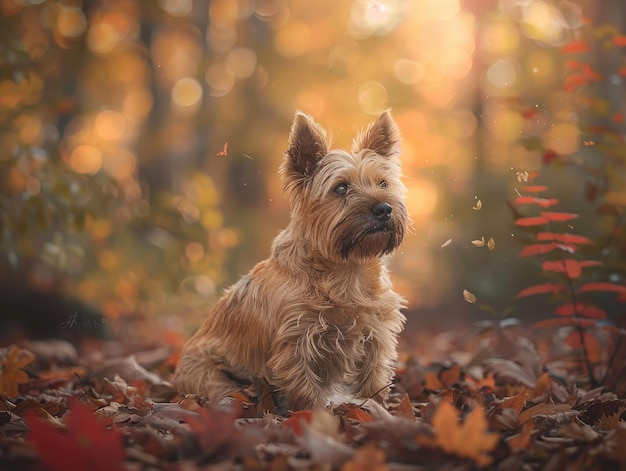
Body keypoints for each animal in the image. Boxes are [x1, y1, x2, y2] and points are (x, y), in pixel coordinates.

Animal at [173, 110, 408, 412]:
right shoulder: (297, 340)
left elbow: (373, 378)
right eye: (341, 188)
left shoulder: (376, 333)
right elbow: (304, 386)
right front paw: (313, 414)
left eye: (383, 183)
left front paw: (375, 407)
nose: (384, 208)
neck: (346, 268)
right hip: (214, 377)